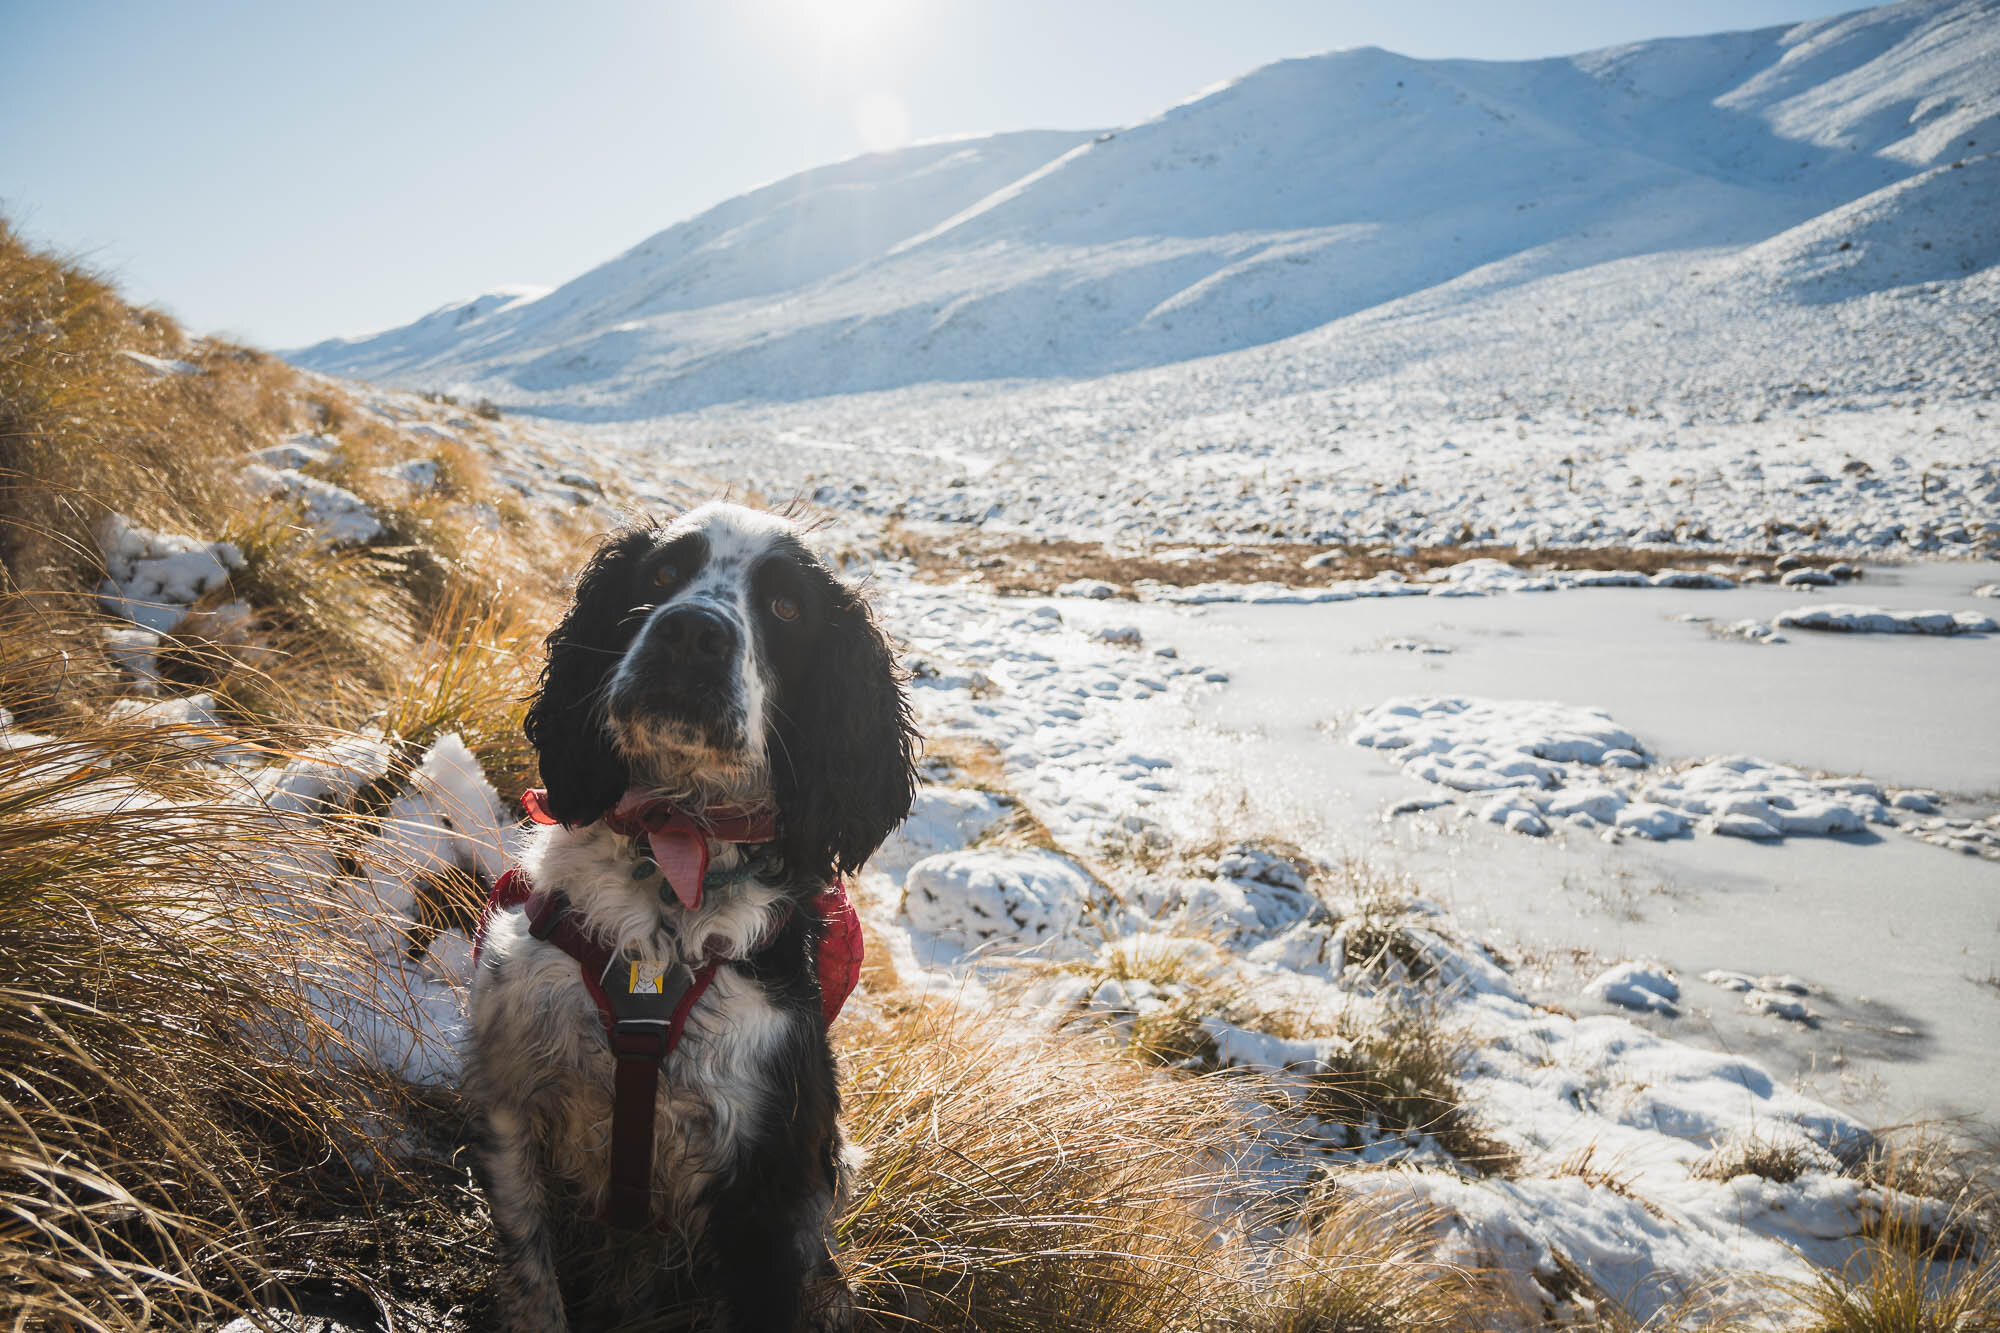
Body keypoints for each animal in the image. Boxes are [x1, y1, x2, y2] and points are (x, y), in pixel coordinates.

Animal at [464, 500, 916, 1328]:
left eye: (786, 606)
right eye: (663, 573)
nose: (690, 632)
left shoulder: (767, 1182)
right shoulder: (510, 1104)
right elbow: (534, 1278)